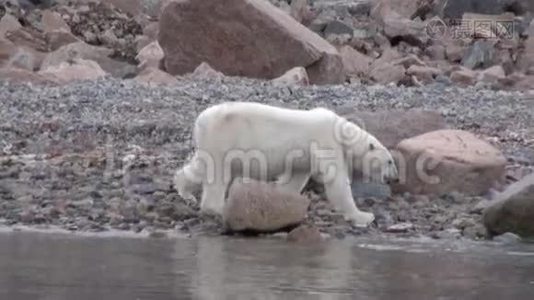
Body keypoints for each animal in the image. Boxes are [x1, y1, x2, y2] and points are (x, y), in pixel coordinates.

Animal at [174, 102, 400, 226]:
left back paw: (185, 192)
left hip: (211, 140)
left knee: (200, 166)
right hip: (224, 137)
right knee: (217, 173)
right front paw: (364, 216)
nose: (395, 178)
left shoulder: (304, 155)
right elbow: (336, 181)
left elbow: (294, 179)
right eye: (390, 161)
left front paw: (282, 204)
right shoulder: (325, 141)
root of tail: (200, 120)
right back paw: (219, 208)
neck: (342, 131)